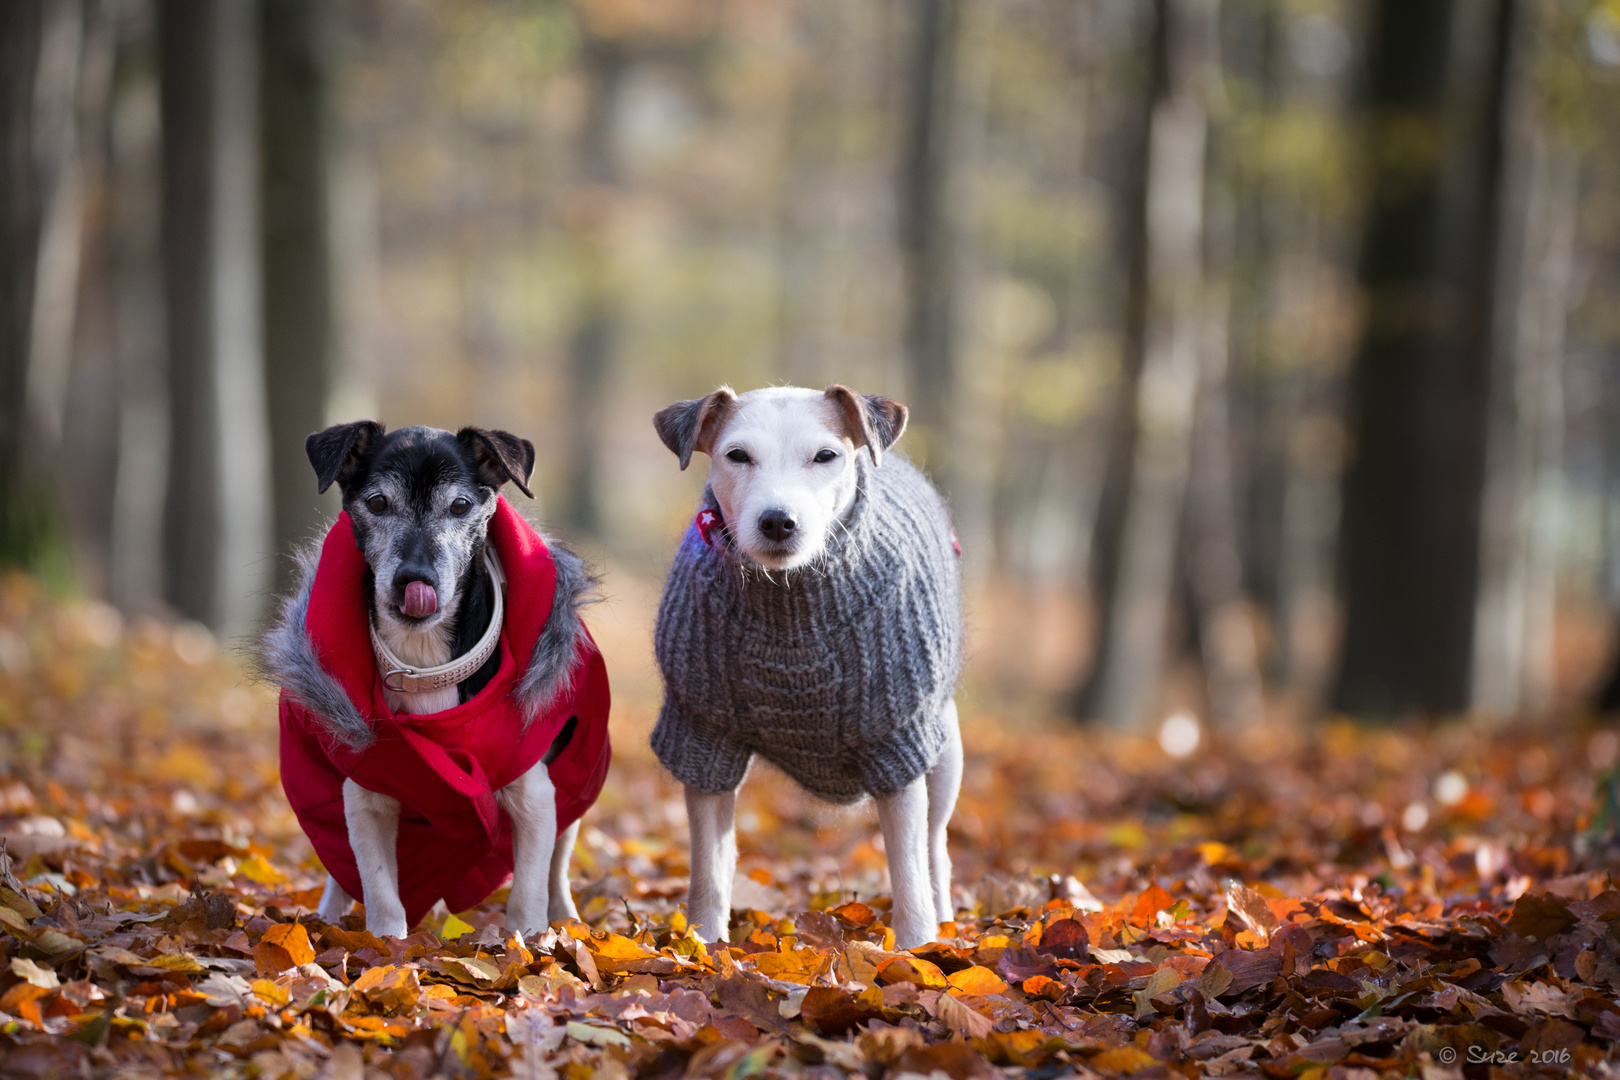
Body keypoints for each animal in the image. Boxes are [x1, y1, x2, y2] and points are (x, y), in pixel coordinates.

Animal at [651, 383, 965, 952]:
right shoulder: (703, 737)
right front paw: (702, 945)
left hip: (943, 750)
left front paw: (915, 950)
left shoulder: (896, 744)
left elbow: (908, 868)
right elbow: (709, 865)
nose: (778, 520)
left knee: (934, 847)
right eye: (737, 455)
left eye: (825, 456)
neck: (789, 597)